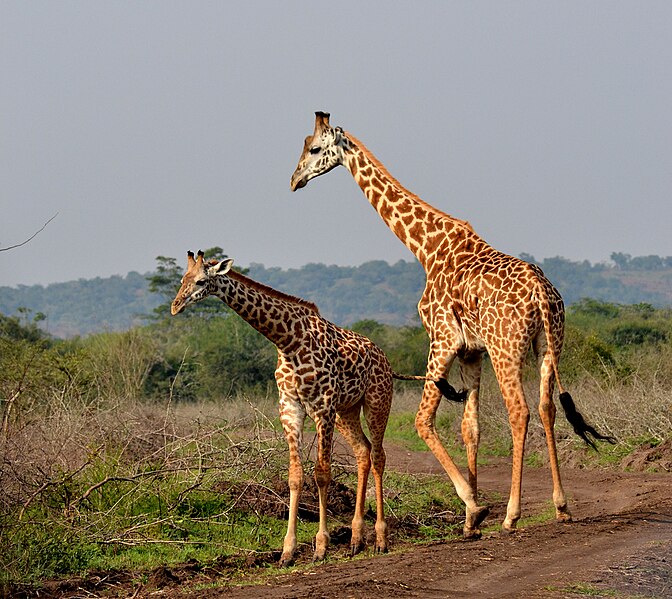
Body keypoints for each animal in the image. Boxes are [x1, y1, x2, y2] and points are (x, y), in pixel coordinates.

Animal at [171, 252, 448, 568]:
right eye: (182, 279)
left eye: (201, 281)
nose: (175, 306)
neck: (288, 340)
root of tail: (386, 360)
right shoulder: (290, 408)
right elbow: (295, 476)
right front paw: (287, 552)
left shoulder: (322, 406)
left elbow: (322, 474)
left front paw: (321, 547)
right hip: (346, 411)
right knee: (362, 451)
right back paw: (355, 540)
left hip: (376, 401)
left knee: (378, 456)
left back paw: (380, 539)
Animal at [290, 111, 616, 540]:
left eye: (314, 149)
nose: (294, 179)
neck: (426, 248)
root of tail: (543, 296)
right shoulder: (471, 353)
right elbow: (470, 427)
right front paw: (468, 521)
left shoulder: (442, 340)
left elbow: (422, 421)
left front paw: (475, 508)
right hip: (549, 345)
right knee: (547, 407)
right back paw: (561, 506)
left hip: (506, 349)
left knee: (520, 411)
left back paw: (512, 514)